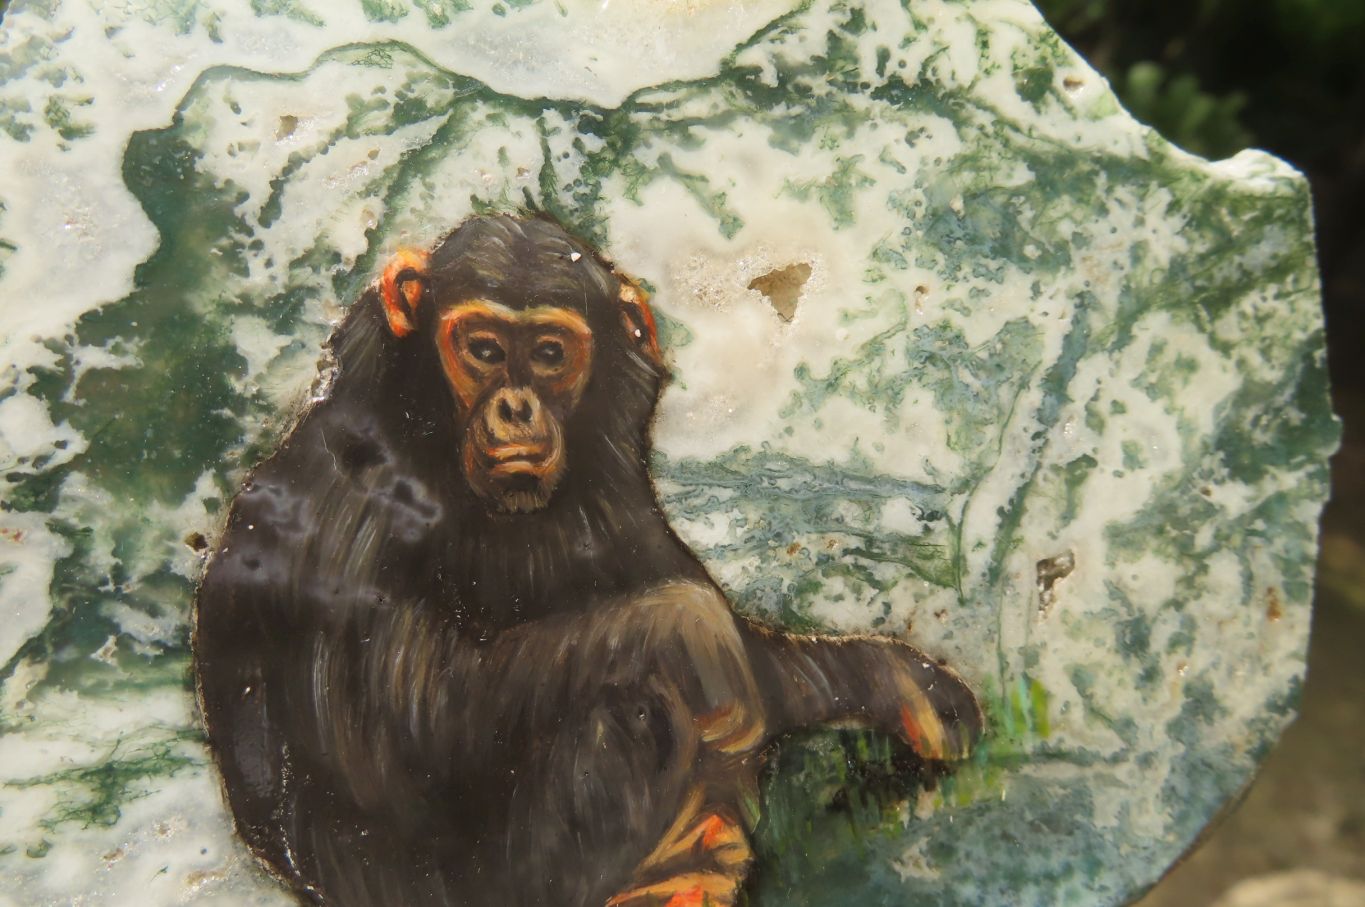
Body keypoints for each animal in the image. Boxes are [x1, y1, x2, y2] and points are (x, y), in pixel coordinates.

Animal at [193, 214, 983, 907]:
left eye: (548, 354)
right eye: (483, 349)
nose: (515, 407)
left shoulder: (616, 469)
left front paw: (898, 680)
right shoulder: (352, 499)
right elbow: (408, 713)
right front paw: (697, 632)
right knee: (628, 703)